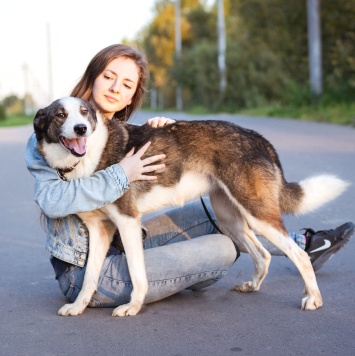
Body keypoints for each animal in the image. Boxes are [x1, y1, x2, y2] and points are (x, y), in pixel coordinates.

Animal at [32, 96, 350, 316]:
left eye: (85, 112)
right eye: (61, 115)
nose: (81, 129)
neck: (87, 158)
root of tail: (256, 137)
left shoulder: (127, 222)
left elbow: (137, 273)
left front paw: (133, 307)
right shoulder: (100, 231)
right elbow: (89, 278)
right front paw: (78, 306)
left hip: (256, 212)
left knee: (298, 255)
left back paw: (314, 297)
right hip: (229, 217)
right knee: (263, 254)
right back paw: (253, 285)